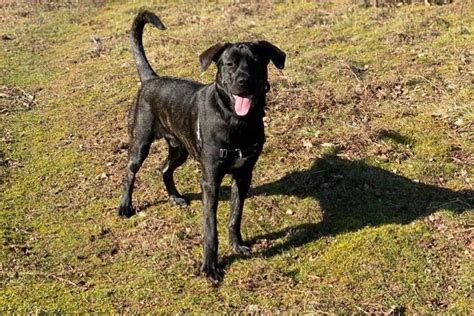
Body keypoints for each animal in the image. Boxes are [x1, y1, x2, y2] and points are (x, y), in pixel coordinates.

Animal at [118, 11, 286, 282]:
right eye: (229, 64)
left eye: (256, 62)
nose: (244, 82)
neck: (235, 120)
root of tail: (152, 79)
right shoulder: (210, 180)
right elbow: (210, 229)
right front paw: (210, 266)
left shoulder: (244, 174)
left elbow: (235, 216)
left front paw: (237, 244)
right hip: (140, 143)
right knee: (130, 172)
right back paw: (125, 206)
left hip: (180, 149)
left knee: (164, 168)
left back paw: (175, 197)